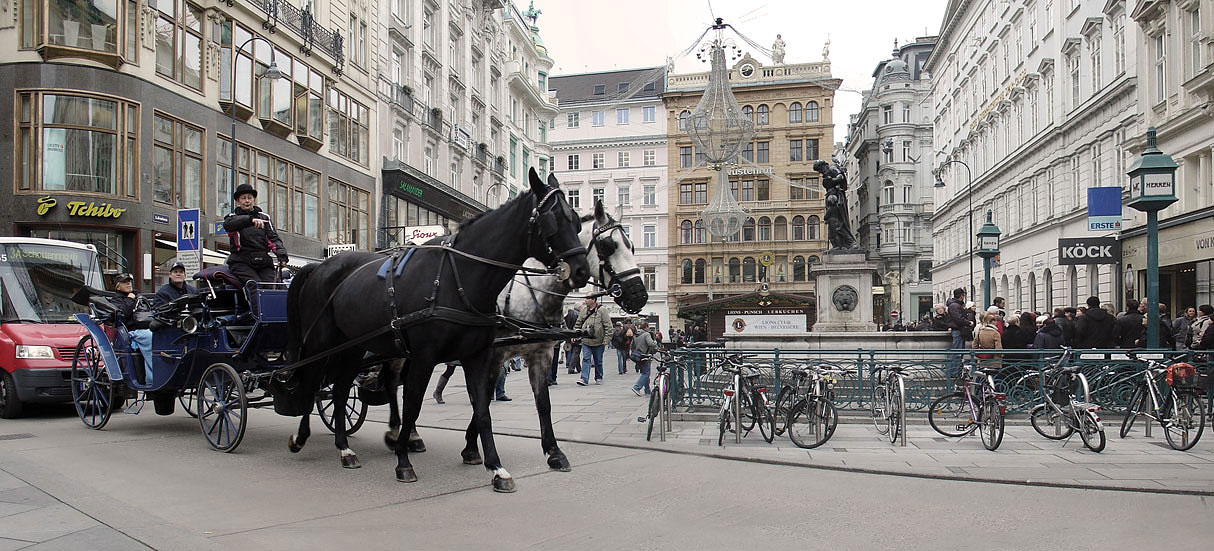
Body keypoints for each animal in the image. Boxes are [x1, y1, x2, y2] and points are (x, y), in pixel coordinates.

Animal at [284, 167, 587, 490]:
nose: (581, 270)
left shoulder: (478, 356)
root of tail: (319, 267)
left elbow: (483, 409)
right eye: (553, 219)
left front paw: (496, 467)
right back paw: (303, 437)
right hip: (320, 343)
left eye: (577, 220)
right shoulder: (424, 358)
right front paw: (403, 461)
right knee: (313, 384)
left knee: (340, 392)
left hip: (353, 347)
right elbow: (413, 405)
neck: (458, 278)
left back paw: (344, 448)